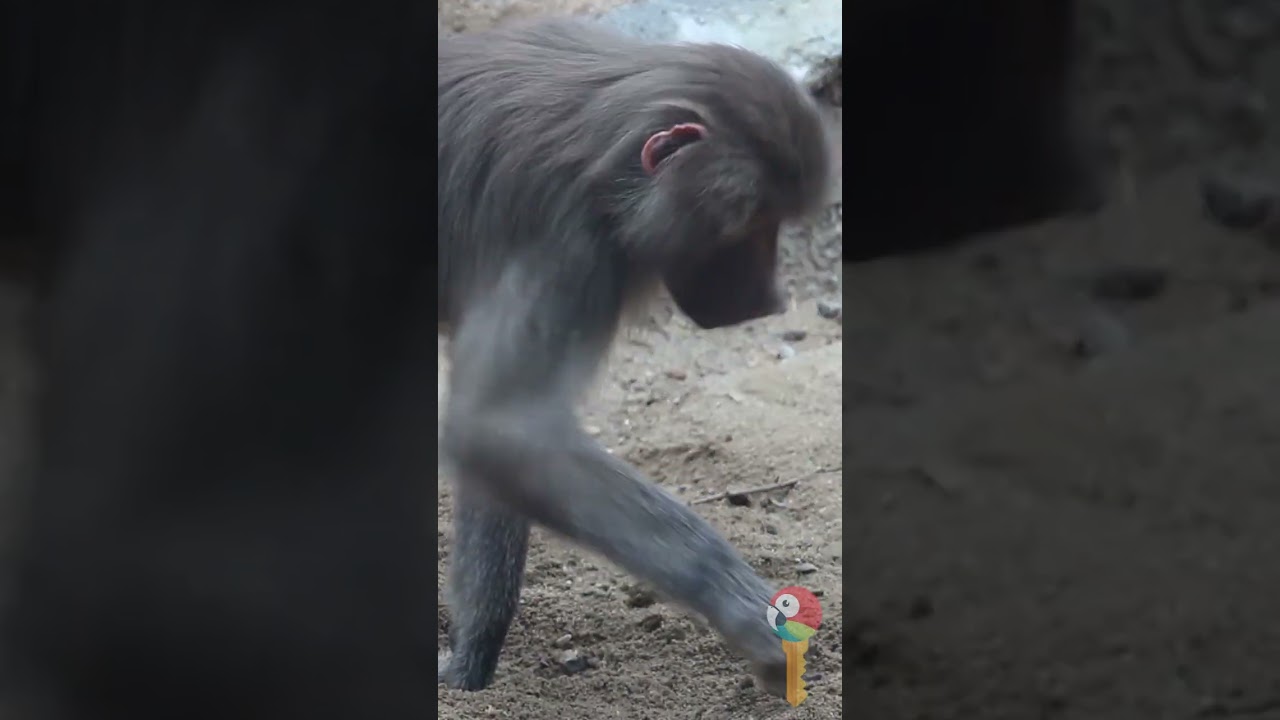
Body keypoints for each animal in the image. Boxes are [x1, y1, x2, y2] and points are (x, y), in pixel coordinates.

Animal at [436, 18, 832, 696]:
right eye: (750, 227)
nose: (773, 298)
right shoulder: (565, 237)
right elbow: (501, 426)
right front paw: (749, 614)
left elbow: (496, 442)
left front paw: (469, 665)